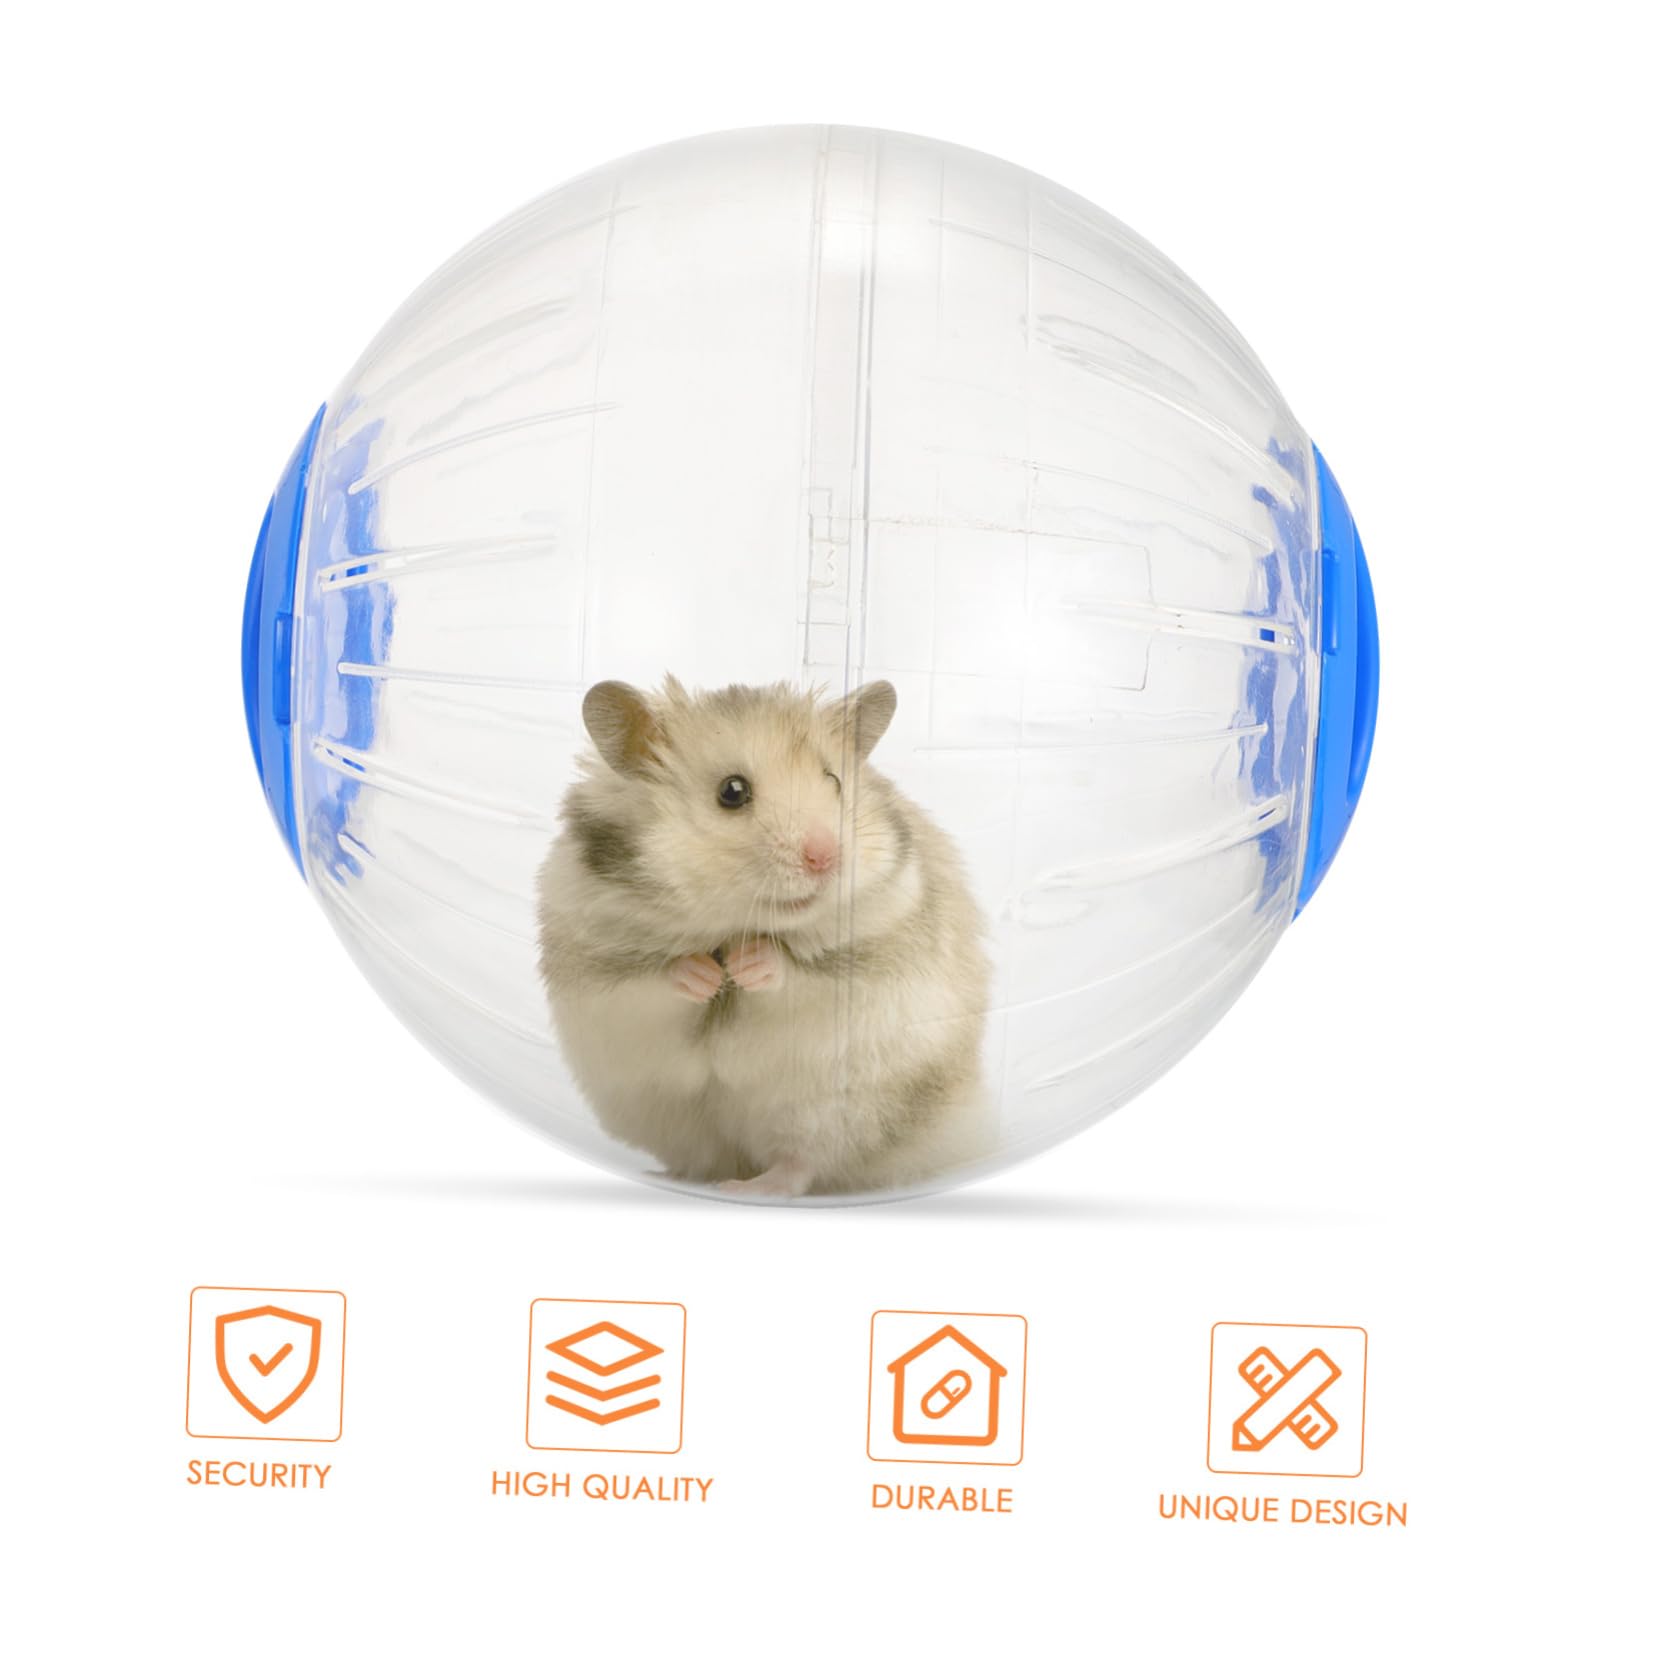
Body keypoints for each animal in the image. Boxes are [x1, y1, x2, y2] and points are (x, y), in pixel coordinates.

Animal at [535, 676, 991, 1197]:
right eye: (732, 792)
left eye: (834, 781)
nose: (826, 856)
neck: (732, 924)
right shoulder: (596, 969)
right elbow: (653, 980)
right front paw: (706, 974)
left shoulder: (874, 957)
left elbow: (797, 973)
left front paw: (746, 963)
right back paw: (684, 1176)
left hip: (837, 1111)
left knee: (801, 1166)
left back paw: (748, 1188)